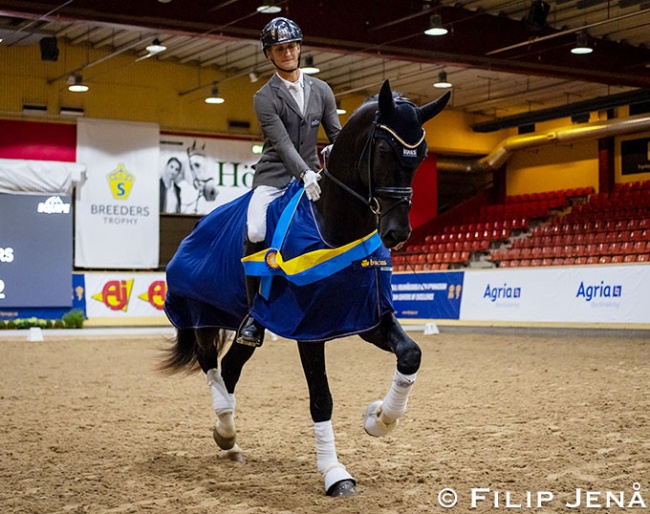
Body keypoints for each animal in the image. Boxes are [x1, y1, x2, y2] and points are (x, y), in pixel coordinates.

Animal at [159, 81, 448, 496]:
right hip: (201, 312)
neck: (334, 223)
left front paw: (379, 418)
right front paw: (335, 473)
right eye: (382, 150)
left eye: (420, 156)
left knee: (231, 365)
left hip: (252, 322)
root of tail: (198, 225)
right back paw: (224, 421)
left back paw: (227, 436)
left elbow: (411, 354)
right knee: (209, 362)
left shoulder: (367, 316)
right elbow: (321, 398)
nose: (397, 233)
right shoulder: (308, 328)